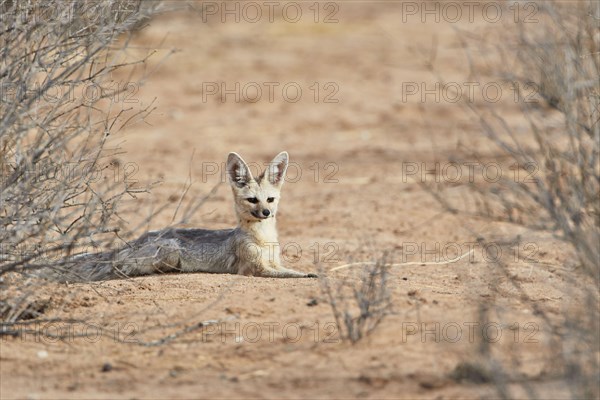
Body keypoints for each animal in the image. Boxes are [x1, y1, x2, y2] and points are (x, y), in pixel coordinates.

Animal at [63, 151, 318, 282]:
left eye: (270, 200)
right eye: (253, 200)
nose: (266, 213)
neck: (264, 239)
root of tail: (136, 240)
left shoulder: (274, 262)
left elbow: (288, 268)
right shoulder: (255, 269)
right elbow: (291, 274)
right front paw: (308, 274)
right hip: (170, 252)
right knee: (123, 270)